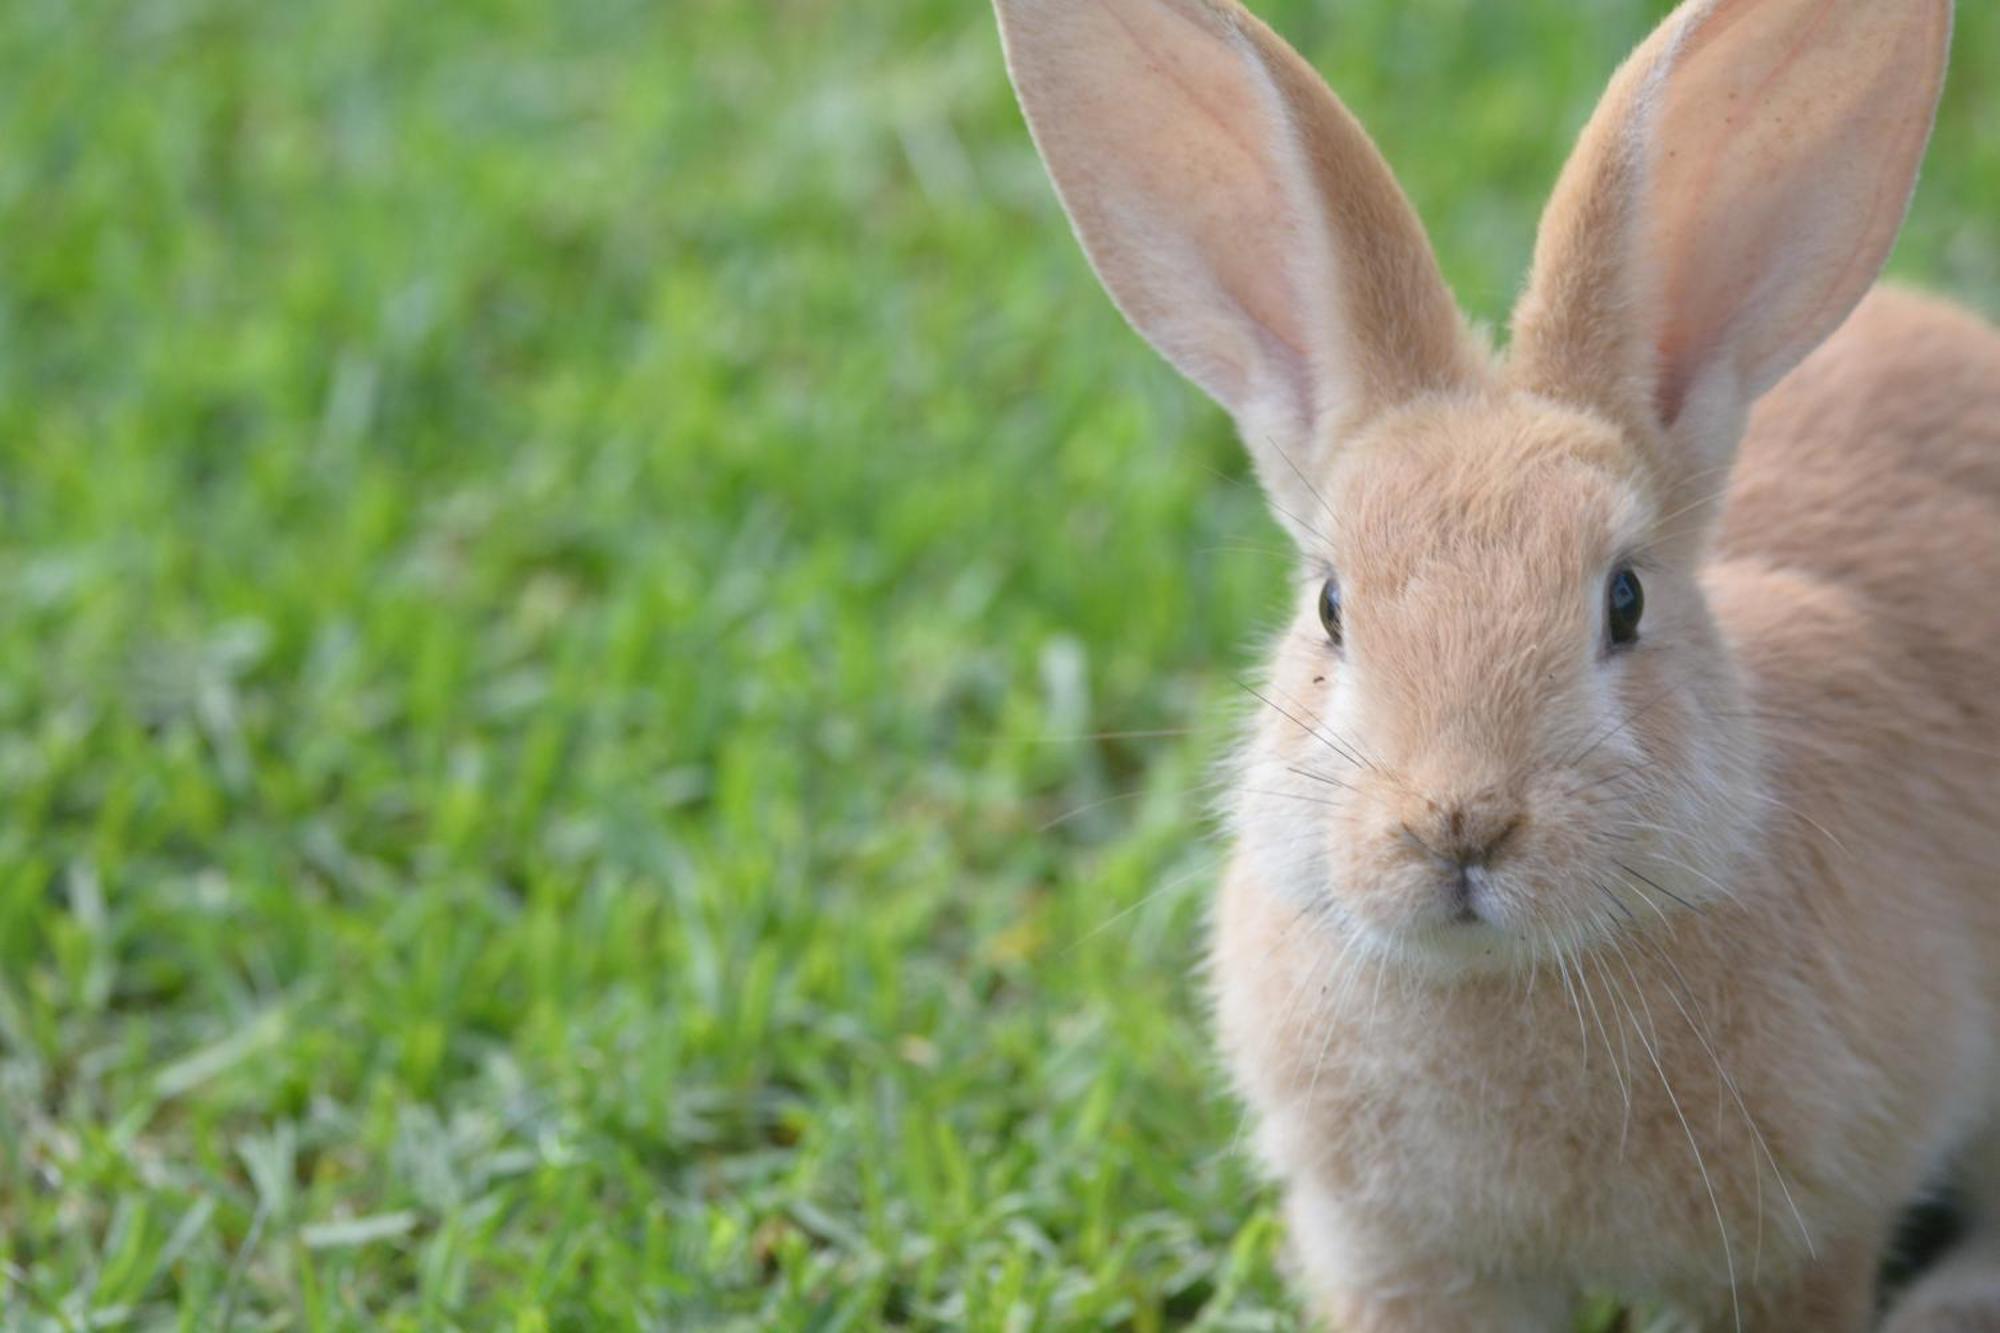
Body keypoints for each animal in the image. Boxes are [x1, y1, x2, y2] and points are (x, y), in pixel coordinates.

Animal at [988, 0, 2000, 1320]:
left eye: (1623, 600)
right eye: (1329, 607)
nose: (1456, 821)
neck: (1495, 979)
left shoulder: (1797, 1245)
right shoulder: (1391, 1251)